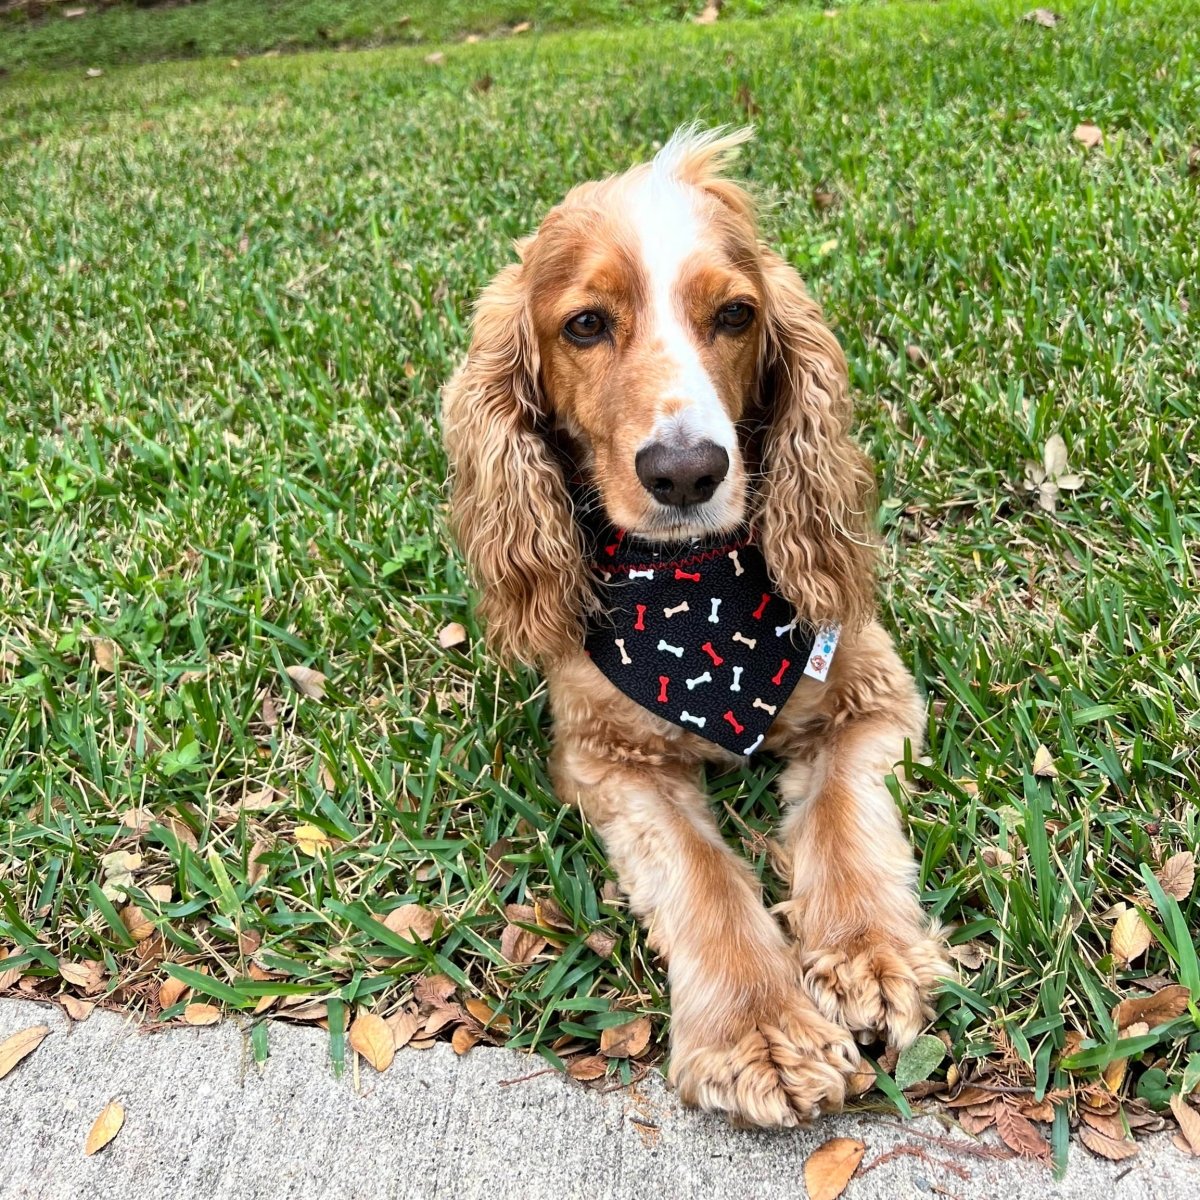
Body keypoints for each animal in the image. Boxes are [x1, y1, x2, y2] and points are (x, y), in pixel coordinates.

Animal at [441, 126, 945, 1128]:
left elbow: (842, 811)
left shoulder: (872, 690)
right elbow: (702, 875)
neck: (692, 597)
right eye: (585, 325)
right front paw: (761, 1033)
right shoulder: (608, 755)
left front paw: (868, 957)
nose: (686, 472)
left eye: (737, 315)